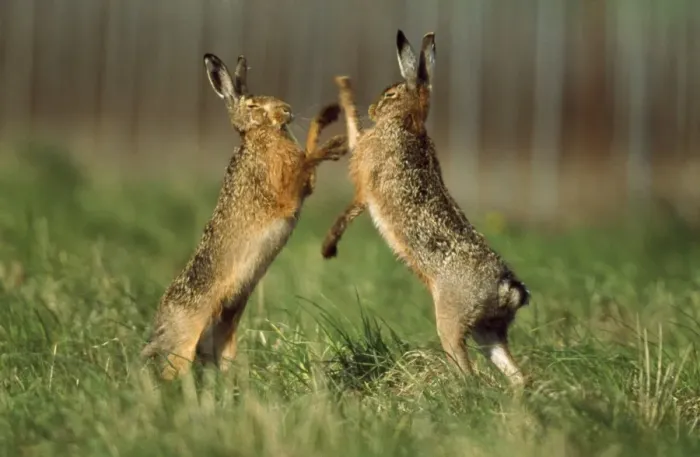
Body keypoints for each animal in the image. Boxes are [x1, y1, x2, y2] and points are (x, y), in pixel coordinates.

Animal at [141, 52, 347, 380]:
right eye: (252, 106)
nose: (287, 110)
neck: (259, 135)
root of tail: (159, 328)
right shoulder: (282, 191)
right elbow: (305, 161)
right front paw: (334, 144)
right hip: (186, 335)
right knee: (173, 369)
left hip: (224, 334)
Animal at [321, 30, 531, 386]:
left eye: (391, 94)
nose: (373, 108)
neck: (407, 123)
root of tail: (506, 288)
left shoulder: (365, 176)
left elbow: (352, 188)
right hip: (488, 331)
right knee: (516, 375)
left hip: (451, 321)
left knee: (467, 370)